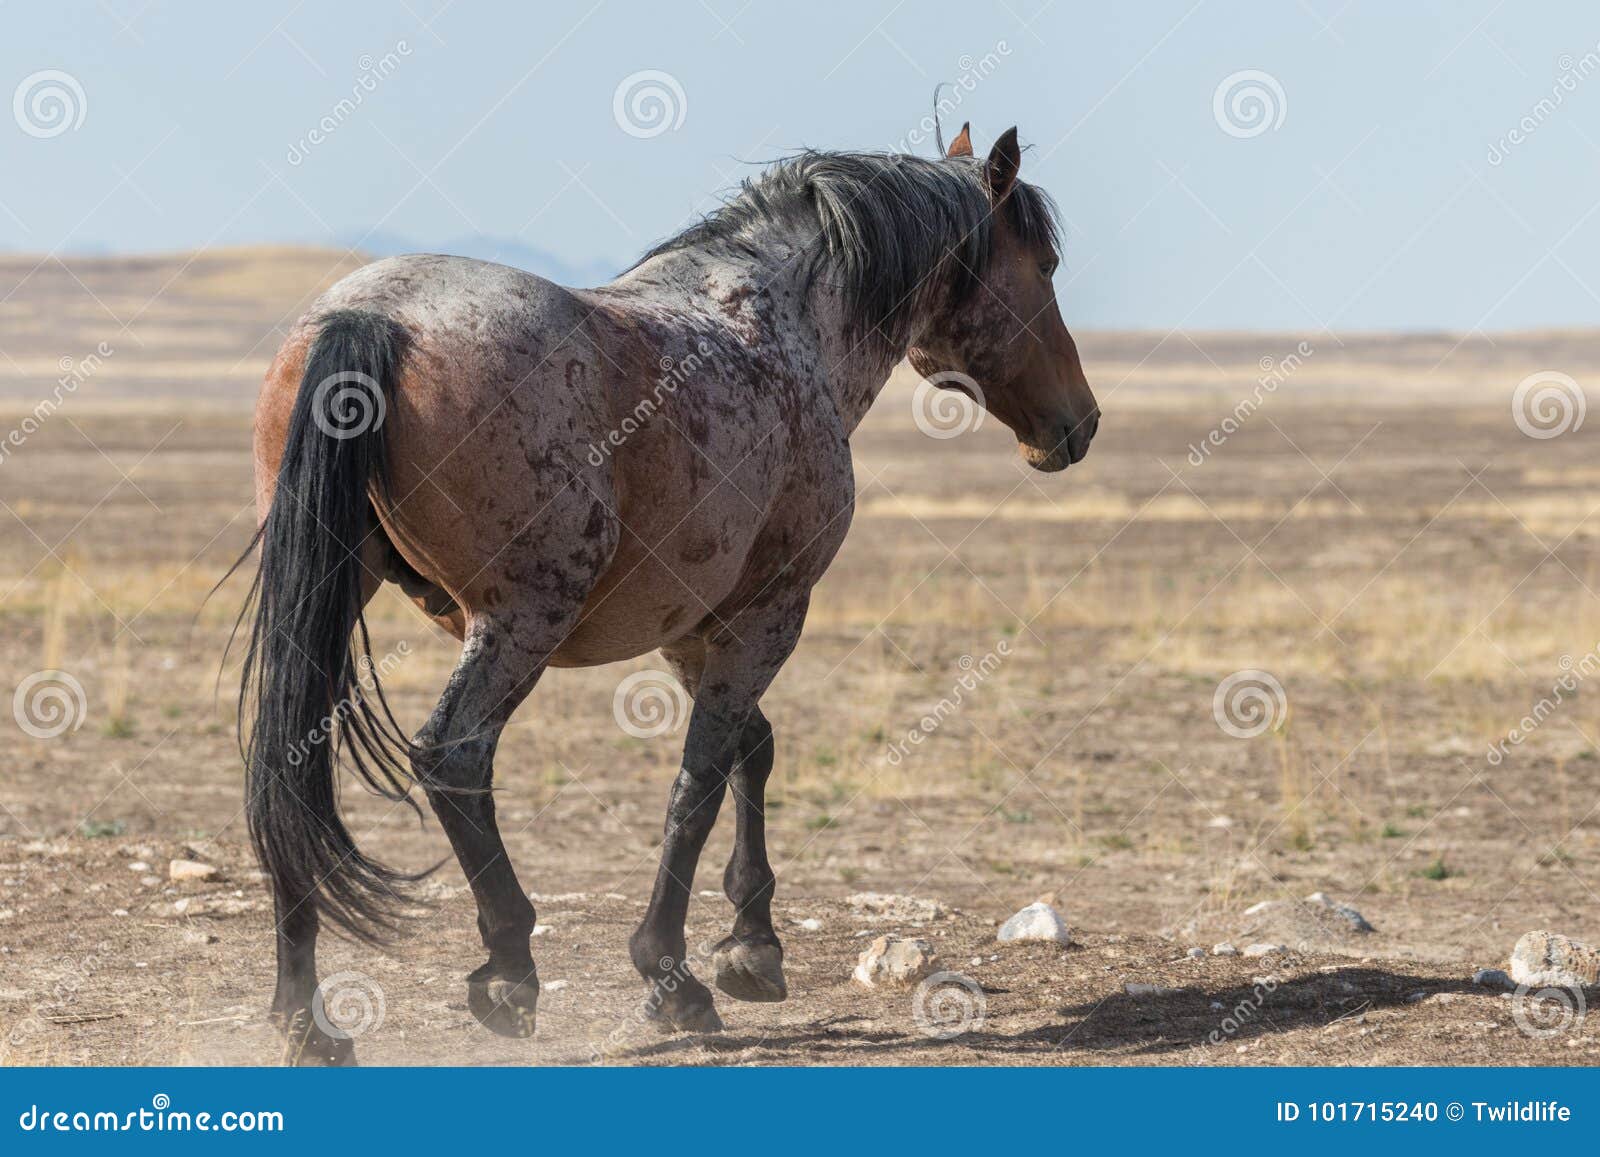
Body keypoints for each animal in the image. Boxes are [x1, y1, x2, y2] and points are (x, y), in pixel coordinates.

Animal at [237, 122, 1099, 1064]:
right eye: (1045, 263)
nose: (1080, 422)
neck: (783, 324)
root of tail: (371, 319)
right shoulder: (769, 613)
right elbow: (699, 781)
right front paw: (673, 974)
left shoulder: (695, 629)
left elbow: (750, 749)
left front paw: (752, 945)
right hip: (521, 619)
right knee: (453, 754)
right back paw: (507, 966)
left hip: (337, 599)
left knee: (288, 765)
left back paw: (304, 1014)